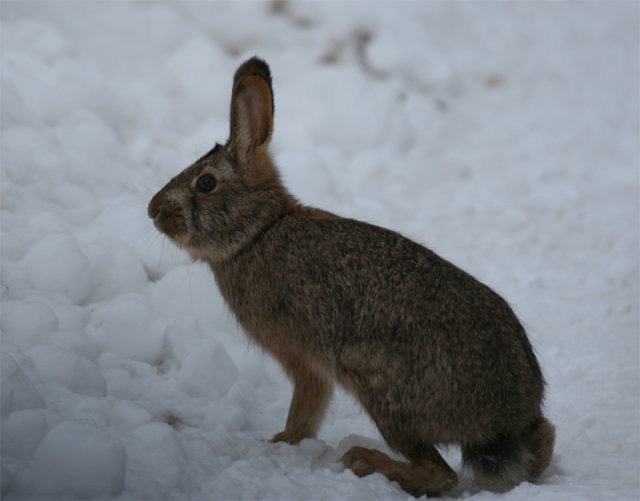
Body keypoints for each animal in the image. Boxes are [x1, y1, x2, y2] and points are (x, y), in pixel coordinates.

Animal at [149, 56, 556, 494]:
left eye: (205, 182)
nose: (153, 210)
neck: (258, 231)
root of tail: (505, 418)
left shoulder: (304, 358)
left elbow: (305, 408)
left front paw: (279, 443)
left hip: (375, 378)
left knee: (439, 474)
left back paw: (365, 460)